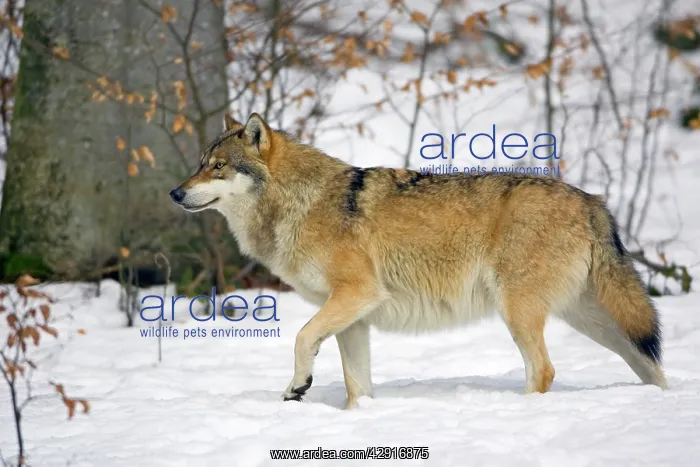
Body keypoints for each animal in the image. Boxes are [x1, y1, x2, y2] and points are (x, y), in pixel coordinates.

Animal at [170, 113, 668, 409]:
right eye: (199, 164)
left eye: (218, 167)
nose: (175, 192)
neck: (301, 202)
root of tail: (592, 201)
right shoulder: (354, 319)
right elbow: (357, 385)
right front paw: (356, 418)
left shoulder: (356, 294)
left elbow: (300, 338)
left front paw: (297, 386)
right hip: (598, 323)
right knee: (650, 364)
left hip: (519, 312)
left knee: (543, 370)